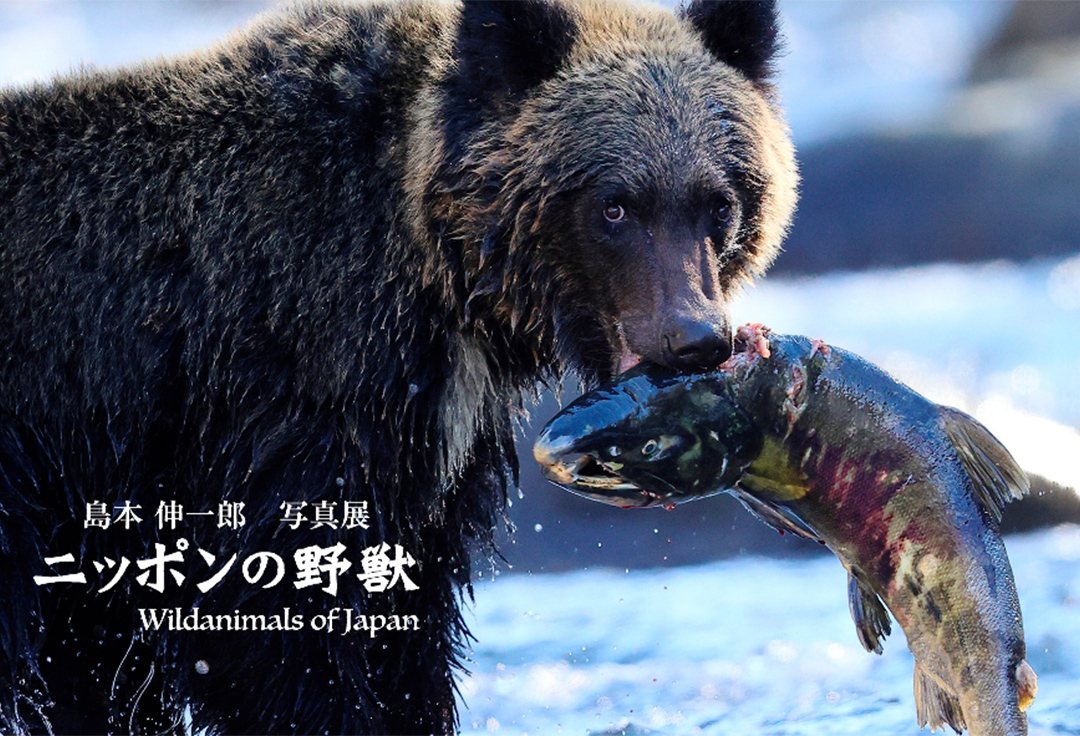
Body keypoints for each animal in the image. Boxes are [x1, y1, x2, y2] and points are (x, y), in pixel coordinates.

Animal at [0, 0, 794, 730]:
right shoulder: (283, 394)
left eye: (719, 202)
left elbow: (408, 626)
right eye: (616, 205)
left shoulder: (426, 451)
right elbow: (277, 633)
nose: (695, 336)